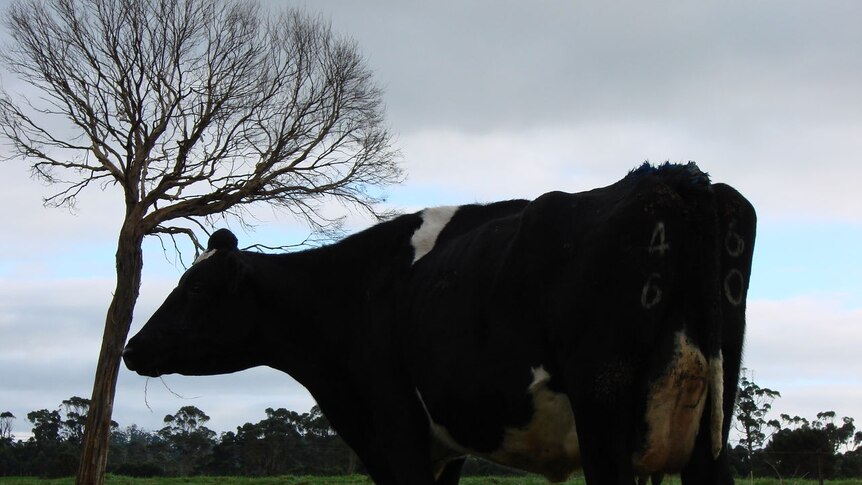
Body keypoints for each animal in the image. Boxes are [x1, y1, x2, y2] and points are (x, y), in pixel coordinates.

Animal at [121, 164, 756, 484]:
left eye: (195, 287)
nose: (132, 348)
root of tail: (677, 182)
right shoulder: (443, 451)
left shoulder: (395, 433)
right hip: (708, 428)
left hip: (604, 413)